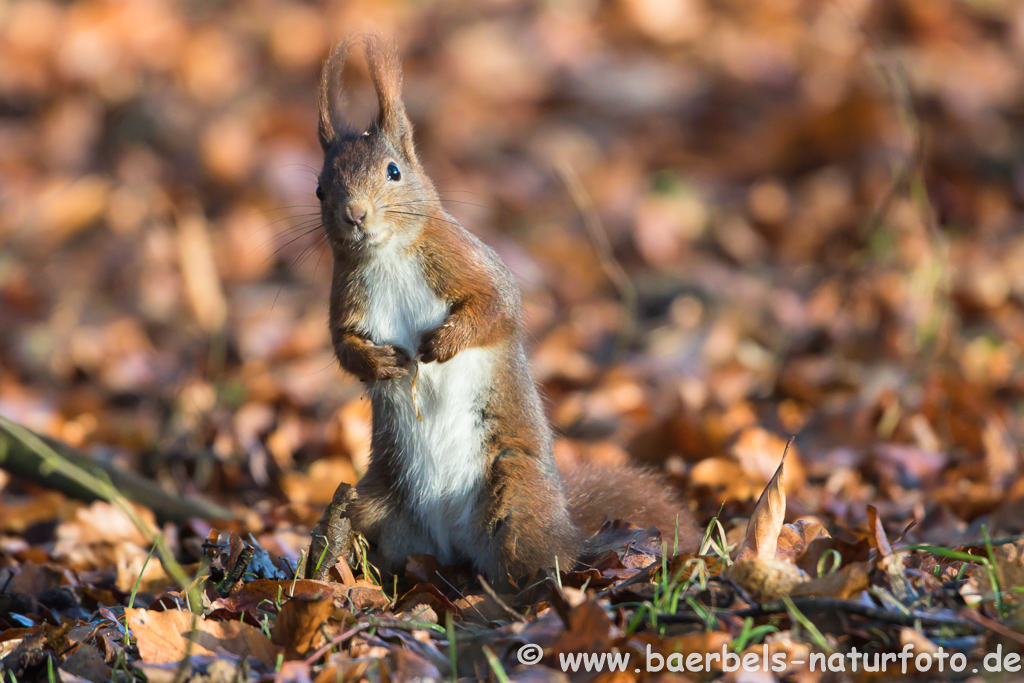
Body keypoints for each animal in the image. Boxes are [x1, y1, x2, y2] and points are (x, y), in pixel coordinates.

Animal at [309, 36, 696, 581]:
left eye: (394, 171)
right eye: (320, 189)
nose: (355, 215)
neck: (387, 255)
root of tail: (450, 544)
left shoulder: (470, 264)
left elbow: (497, 306)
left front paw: (444, 342)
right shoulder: (347, 297)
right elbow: (343, 346)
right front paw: (381, 362)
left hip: (515, 489)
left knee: (540, 559)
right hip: (380, 497)